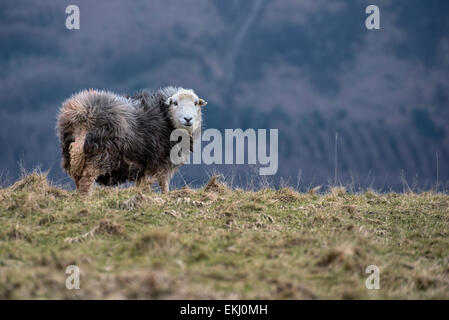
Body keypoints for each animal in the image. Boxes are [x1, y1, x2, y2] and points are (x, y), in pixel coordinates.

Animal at [56, 85, 208, 195]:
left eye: (196, 103)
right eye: (175, 103)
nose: (188, 119)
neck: (165, 118)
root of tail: (82, 115)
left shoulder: (144, 166)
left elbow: (143, 184)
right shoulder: (159, 161)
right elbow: (163, 183)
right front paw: (165, 196)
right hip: (101, 153)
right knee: (86, 179)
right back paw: (85, 197)